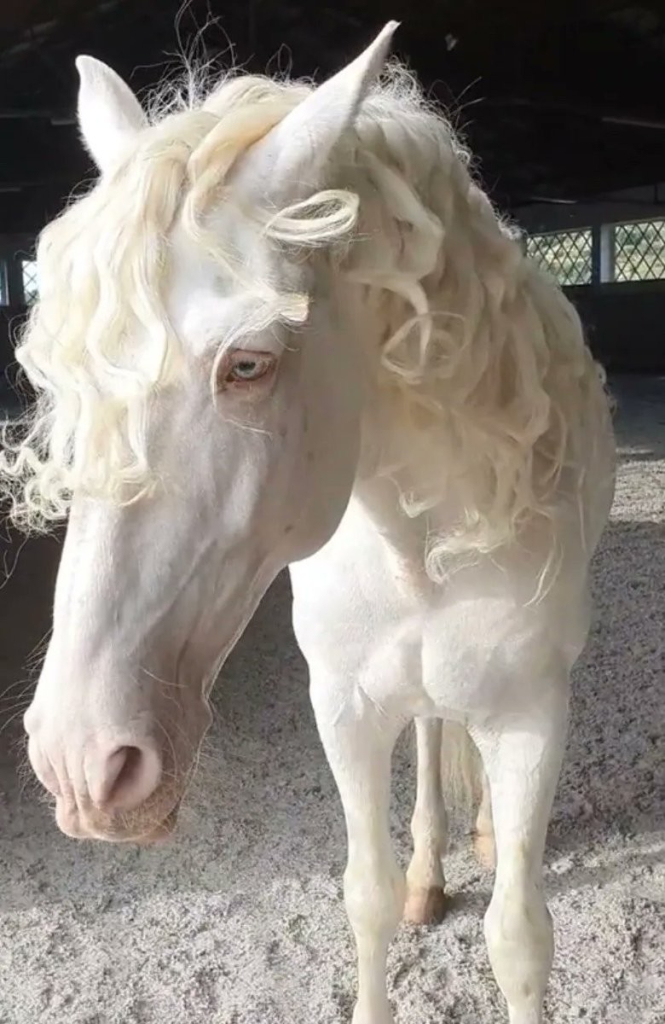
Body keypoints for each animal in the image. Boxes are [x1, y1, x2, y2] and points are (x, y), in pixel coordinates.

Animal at [1, 22, 610, 1024]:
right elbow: (365, 898)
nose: (82, 766)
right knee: (429, 733)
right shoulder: (346, 706)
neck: (415, 546)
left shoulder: (530, 718)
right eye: (58, 377)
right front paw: (404, 888)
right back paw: (429, 872)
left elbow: (519, 939)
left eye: (248, 363)